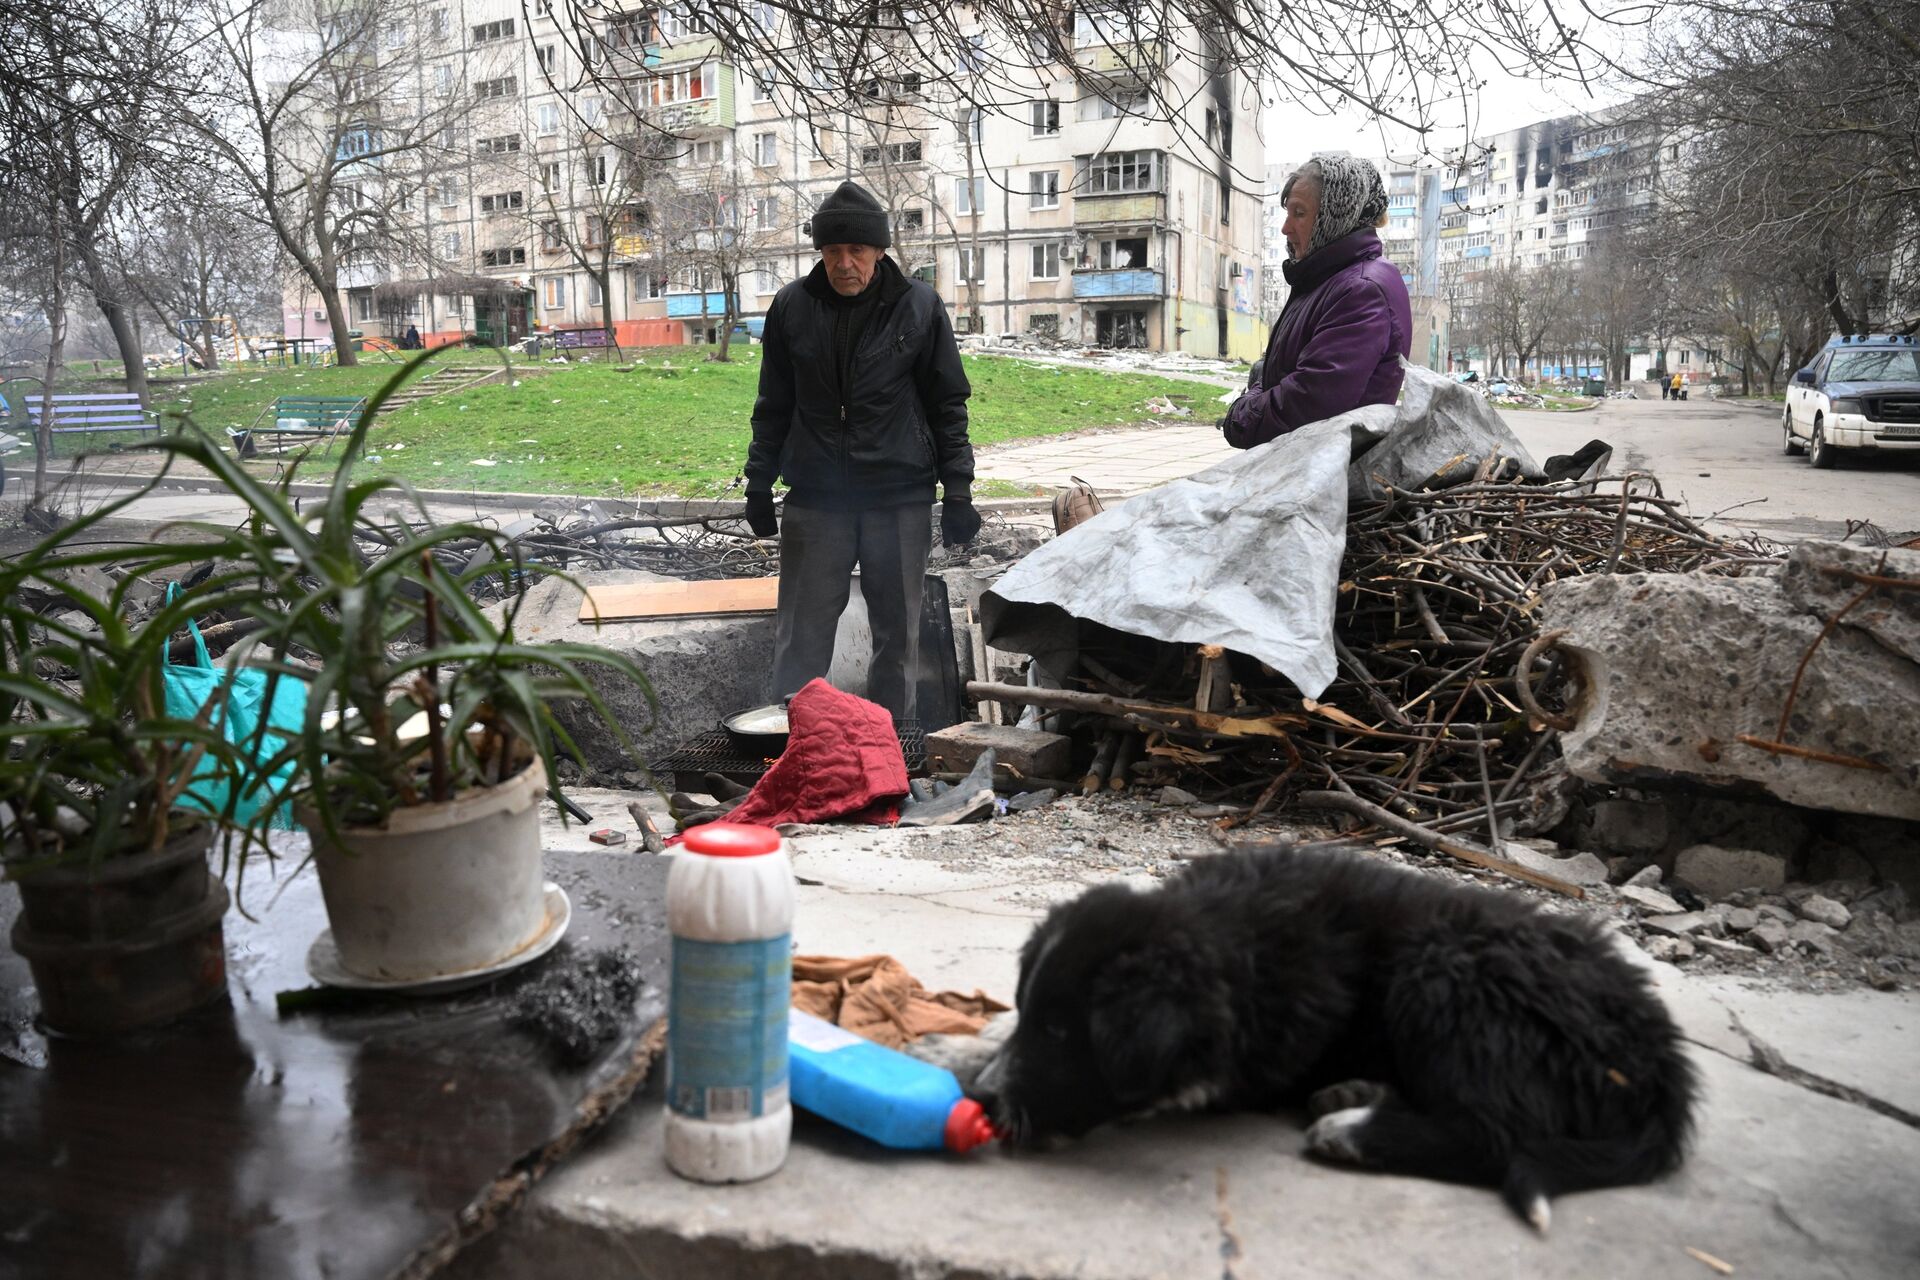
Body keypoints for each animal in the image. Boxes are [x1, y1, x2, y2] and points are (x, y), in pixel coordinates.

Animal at [975, 840, 1697, 1228]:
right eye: (1032, 1013)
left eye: (1063, 1033)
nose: (984, 1099)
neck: (1233, 934)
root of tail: (1660, 1063)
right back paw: (1354, 1094)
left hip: (1446, 973)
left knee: (1499, 1133)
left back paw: (1350, 1130)